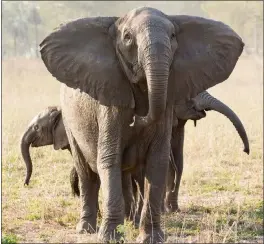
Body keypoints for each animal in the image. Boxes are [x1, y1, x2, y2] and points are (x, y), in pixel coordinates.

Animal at [37, 7, 245, 242]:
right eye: (127, 37)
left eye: (173, 36)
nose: (137, 118)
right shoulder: (110, 102)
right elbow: (109, 159)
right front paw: (110, 238)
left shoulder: (167, 107)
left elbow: (158, 162)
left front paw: (151, 238)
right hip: (70, 123)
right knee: (86, 174)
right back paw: (86, 229)